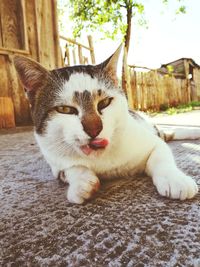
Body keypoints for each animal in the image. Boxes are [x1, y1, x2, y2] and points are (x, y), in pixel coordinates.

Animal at [14, 46, 198, 205]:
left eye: (104, 103)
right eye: (65, 109)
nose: (94, 129)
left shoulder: (152, 142)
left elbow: (161, 158)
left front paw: (175, 179)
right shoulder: (55, 162)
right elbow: (71, 168)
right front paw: (82, 183)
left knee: (168, 133)